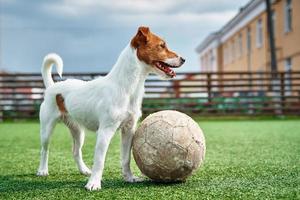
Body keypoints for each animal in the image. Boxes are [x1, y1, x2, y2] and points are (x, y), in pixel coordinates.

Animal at [37, 26, 185, 191]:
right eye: (162, 45)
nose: (183, 59)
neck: (126, 87)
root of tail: (52, 86)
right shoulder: (105, 131)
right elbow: (100, 160)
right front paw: (94, 183)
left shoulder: (129, 129)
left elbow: (126, 158)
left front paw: (129, 178)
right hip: (47, 128)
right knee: (44, 149)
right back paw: (43, 170)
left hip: (78, 130)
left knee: (76, 151)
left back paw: (84, 170)